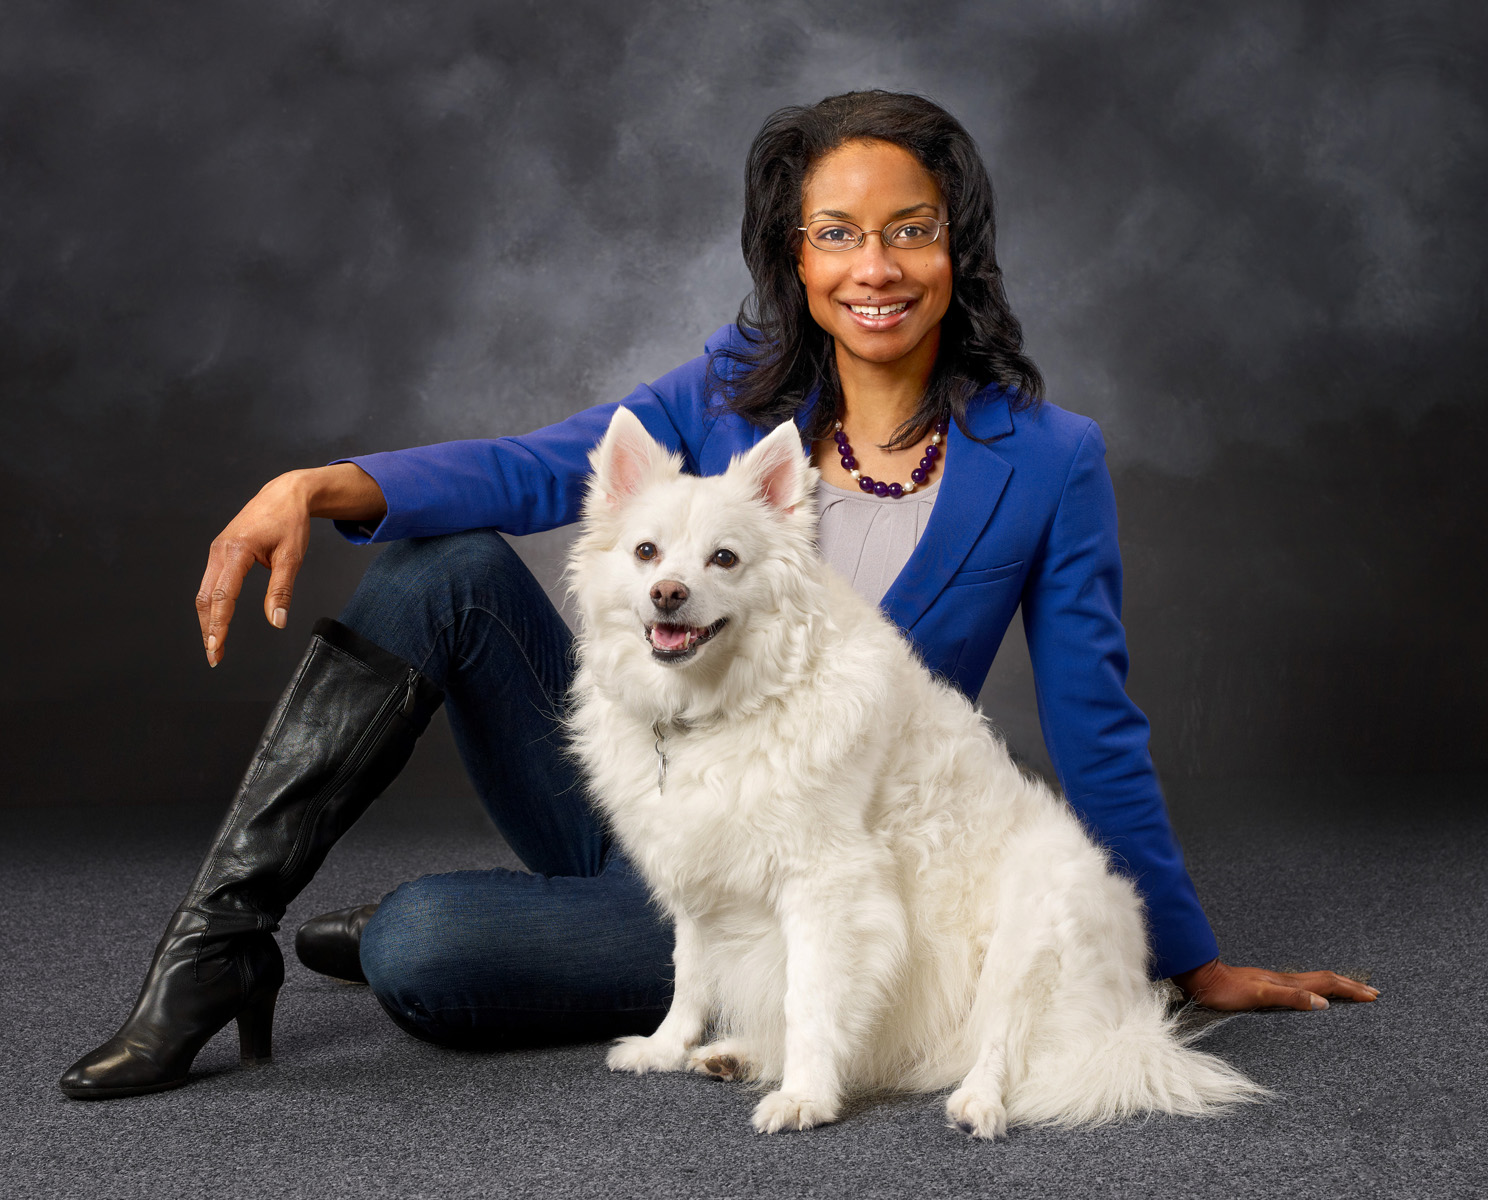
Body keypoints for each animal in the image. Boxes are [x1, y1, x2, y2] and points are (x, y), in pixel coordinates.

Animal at [562, 407, 1261, 1143]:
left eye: (723, 558)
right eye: (646, 552)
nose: (668, 594)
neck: (719, 709)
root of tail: (1126, 1019)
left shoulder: (829, 885)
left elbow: (810, 1000)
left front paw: (805, 1095)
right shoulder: (700, 872)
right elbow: (691, 975)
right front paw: (667, 1048)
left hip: (1034, 924)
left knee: (1005, 1039)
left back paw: (978, 1101)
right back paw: (737, 1054)